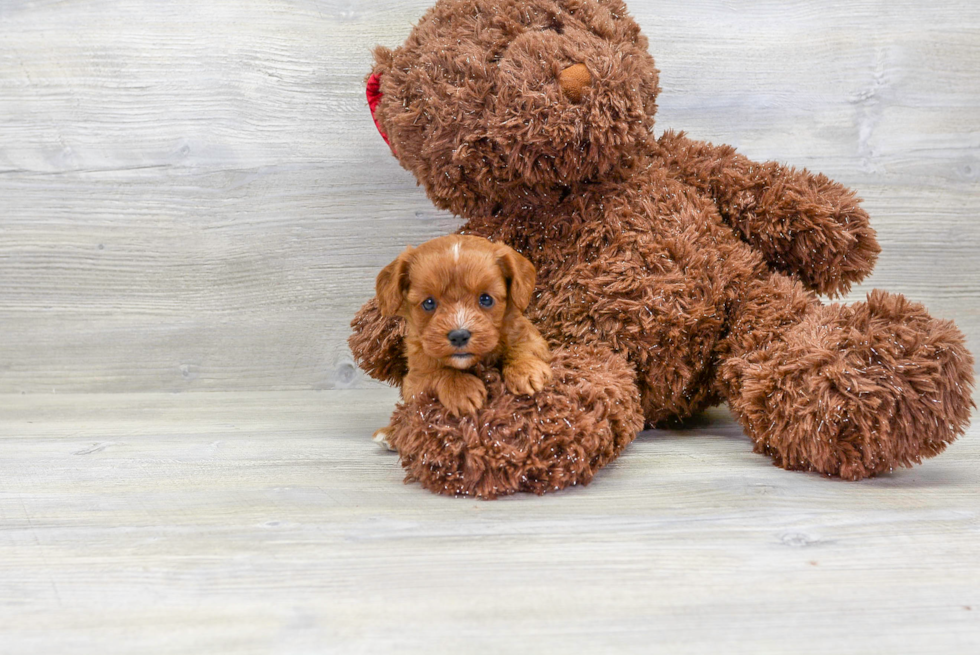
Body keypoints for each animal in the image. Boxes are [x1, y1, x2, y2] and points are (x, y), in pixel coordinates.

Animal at [374, 236, 552, 440]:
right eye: (429, 303)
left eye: (486, 299)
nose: (459, 336)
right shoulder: (414, 382)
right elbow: (438, 373)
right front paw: (461, 389)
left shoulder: (531, 337)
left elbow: (522, 347)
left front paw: (526, 370)